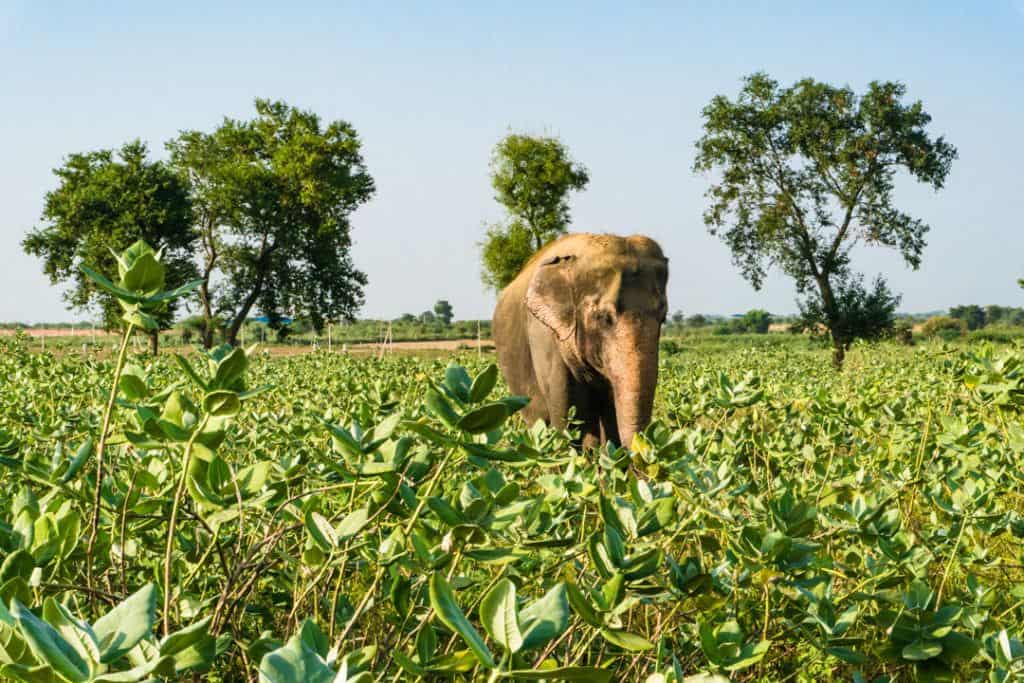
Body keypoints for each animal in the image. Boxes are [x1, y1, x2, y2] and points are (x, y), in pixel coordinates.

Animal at [492, 232, 668, 448]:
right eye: (604, 318)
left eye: (663, 318)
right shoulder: (545, 334)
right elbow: (564, 414)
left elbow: (610, 413)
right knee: (539, 419)